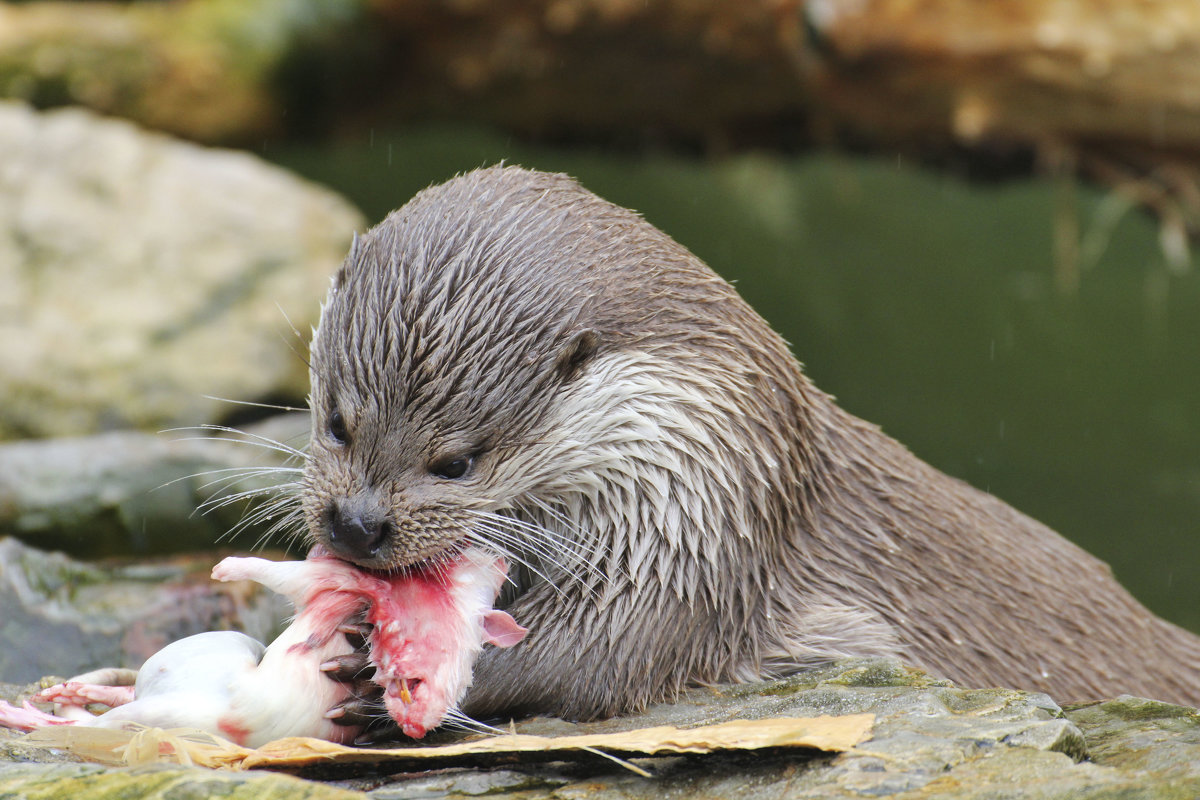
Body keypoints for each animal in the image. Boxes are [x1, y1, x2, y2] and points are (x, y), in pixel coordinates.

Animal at [304, 165, 1200, 724]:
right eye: (337, 421)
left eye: (458, 462)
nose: (358, 524)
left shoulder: (702, 533)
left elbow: (596, 656)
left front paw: (385, 677)